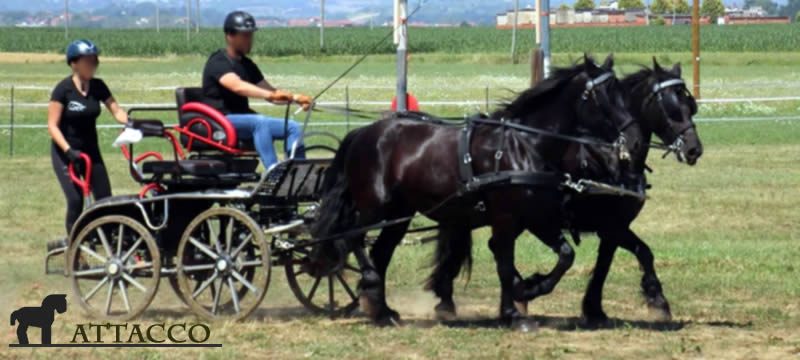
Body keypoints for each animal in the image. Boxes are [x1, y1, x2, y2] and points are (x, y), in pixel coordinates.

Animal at [310, 54, 640, 330]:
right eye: (605, 96)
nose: (634, 139)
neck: (525, 146)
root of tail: (363, 132)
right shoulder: (507, 218)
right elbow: (505, 264)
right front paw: (515, 310)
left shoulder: (537, 217)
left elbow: (564, 256)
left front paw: (527, 290)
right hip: (375, 206)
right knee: (354, 238)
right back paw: (370, 287)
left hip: (399, 214)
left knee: (380, 252)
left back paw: (382, 310)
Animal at [428, 57, 704, 328]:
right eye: (672, 107)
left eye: (691, 106)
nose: (694, 149)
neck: (613, 159)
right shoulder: (609, 225)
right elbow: (607, 263)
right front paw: (601, 306)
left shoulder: (615, 226)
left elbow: (638, 254)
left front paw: (650, 301)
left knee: (490, 247)